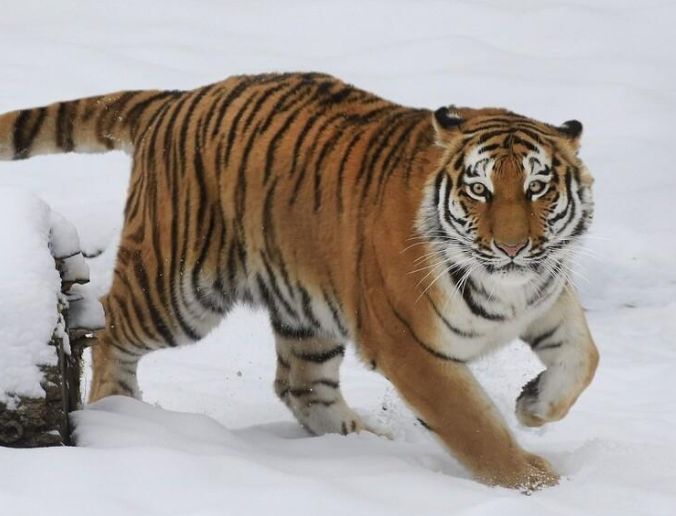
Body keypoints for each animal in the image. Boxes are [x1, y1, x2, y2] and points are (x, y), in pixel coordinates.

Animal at [0, 72, 598, 490]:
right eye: (479, 190)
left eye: (538, 187)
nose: (513, 248)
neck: (509, 288)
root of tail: (179, 98)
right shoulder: (412, 348)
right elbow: (474, 426)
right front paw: (537, 484)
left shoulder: (548, 298)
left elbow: (583, 359)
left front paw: (535, 407)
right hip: (177, 289)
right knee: (108, 327)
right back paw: (118, 410)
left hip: (306, 309)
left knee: (300, 385)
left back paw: (362, 446)